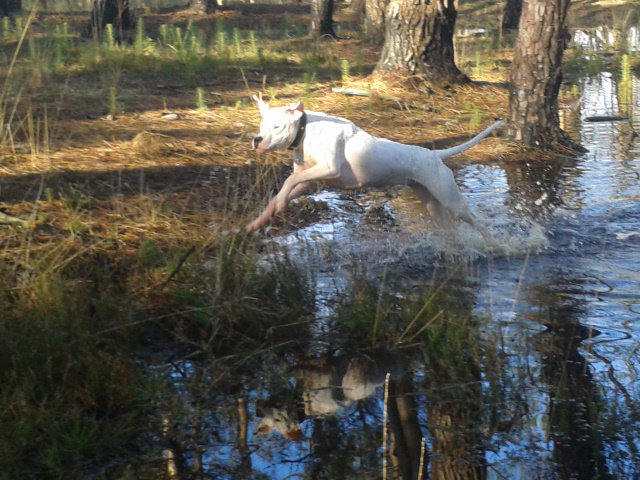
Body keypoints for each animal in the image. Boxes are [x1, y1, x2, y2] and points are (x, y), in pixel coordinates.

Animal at [248, 94, 502, 244]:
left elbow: (289, 181)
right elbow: (286, 188)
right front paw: (260, 220)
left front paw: (280, 204)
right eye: (260, 126)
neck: (306, 131)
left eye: (277, 126)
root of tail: (434, 155)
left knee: (476, 221)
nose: (257, 139)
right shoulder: (310, 180)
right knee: (449, 227)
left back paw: (495, 246)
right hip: (432, 203)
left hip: (451, 200)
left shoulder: (329, 168)